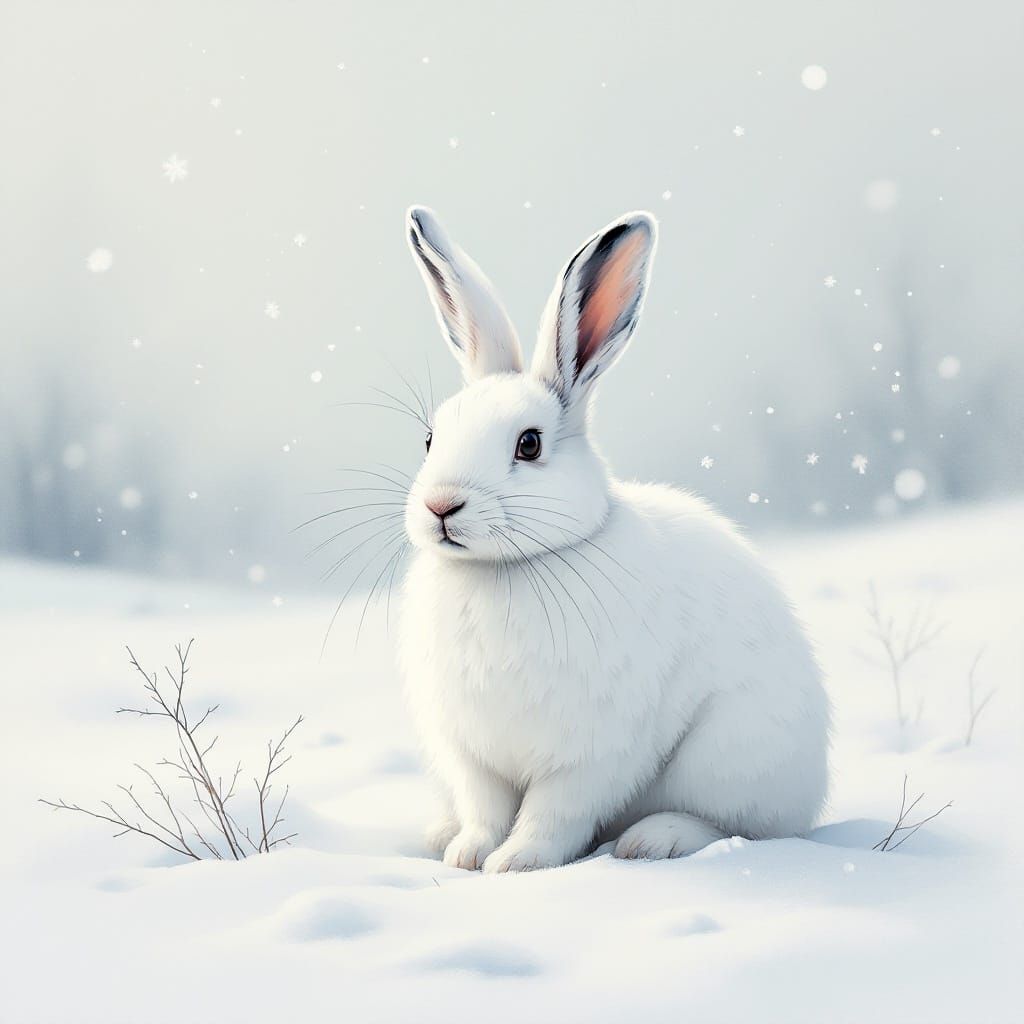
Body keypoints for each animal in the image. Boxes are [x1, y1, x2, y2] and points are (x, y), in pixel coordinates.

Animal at [398, 205, 830, 873]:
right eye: (429, 439)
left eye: (529, 444)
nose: (441, 506)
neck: (507, 567)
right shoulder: (470, 754)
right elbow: (485, 808)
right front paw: (468, 856)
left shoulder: (590, 752)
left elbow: (553, 813)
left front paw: (517, 863)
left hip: (730, 754)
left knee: (739, 825)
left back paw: (652, 841)